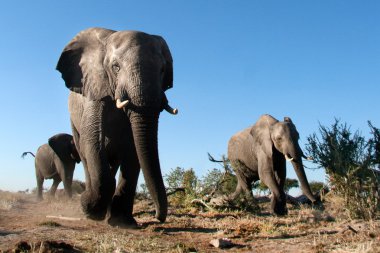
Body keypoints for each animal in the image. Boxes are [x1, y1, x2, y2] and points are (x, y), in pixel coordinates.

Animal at [55, 27, 177, 227]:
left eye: (162, 70)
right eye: (115, 67)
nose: (158, 217)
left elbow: (133, 148)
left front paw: (123, 221)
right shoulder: (95, 88)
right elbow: (92, 139)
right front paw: (89, 208)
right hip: (73, 121)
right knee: (85, 152)